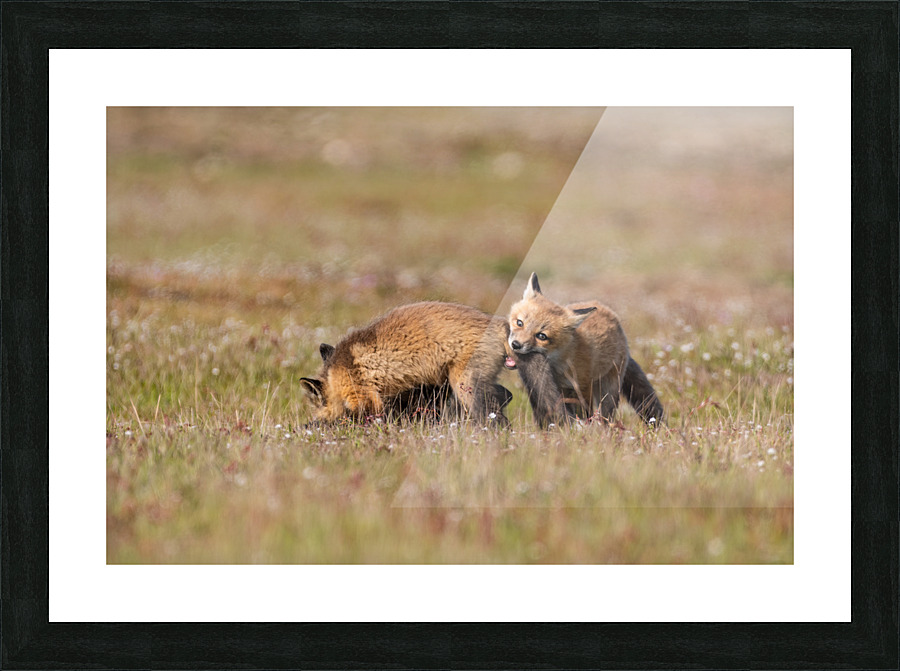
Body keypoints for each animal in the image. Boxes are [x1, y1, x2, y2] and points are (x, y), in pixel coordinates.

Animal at [299, 302, 515, 426]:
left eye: (316, 404)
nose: (315, 419)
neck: (337, 373)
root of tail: (500, 323)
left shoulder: (365, 398)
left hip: (466, 387)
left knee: (497, 419)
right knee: (506, 395)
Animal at [505, 272, 664, 427]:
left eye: (541, 336)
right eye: (519, 322)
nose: (516, 345)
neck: (558, 365)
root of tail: (604, 308)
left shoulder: (582, 387)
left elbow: (584, 413)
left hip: (607, 390)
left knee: (605, 414)